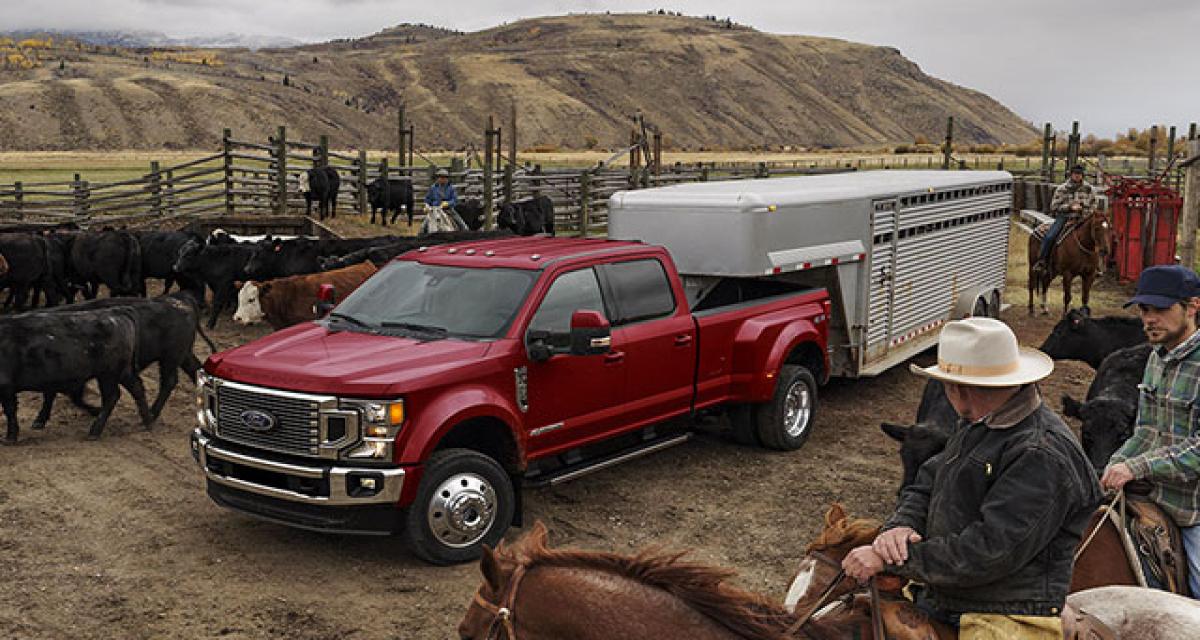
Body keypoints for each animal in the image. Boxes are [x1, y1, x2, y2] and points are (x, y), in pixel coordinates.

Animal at [0, 307, 152, 442]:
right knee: (137, 388)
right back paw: (147, 422)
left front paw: (10, 437)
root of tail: (116, 313)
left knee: (112, 397)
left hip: (108, 374)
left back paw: (94, 431)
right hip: (121, 372)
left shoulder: (6, 387)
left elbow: (10, 411)